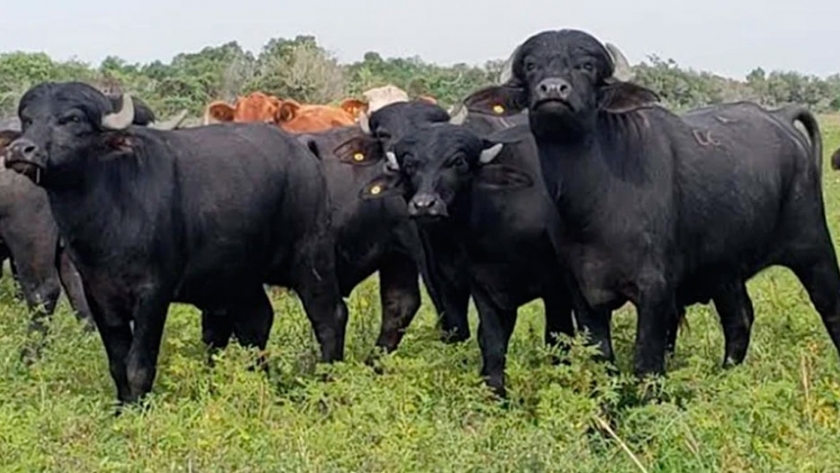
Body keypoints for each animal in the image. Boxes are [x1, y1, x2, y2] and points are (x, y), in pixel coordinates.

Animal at [4, 81, 348, 405]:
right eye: (28, 119)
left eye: (72, 118)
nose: (20, 151)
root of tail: (303, 149)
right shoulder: (98, 295)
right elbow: (117, 363)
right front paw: (123, 408)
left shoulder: (154, 294)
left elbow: (138, 366)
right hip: (239, 278)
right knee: (256, 321)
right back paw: (258, 381)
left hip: (311, 258)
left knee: (329, 317)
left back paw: (327, 387)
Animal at [464, 29, 840, 379]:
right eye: (531, 66)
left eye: (587, 66)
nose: (553, 90)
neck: (592, 206)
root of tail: (781, 117)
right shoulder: (582, 294)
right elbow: (603, 361)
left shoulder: (655, 291)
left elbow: (646, 363)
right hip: (725, 269)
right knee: (739, 318)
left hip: (812, 245)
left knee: (830, 308)